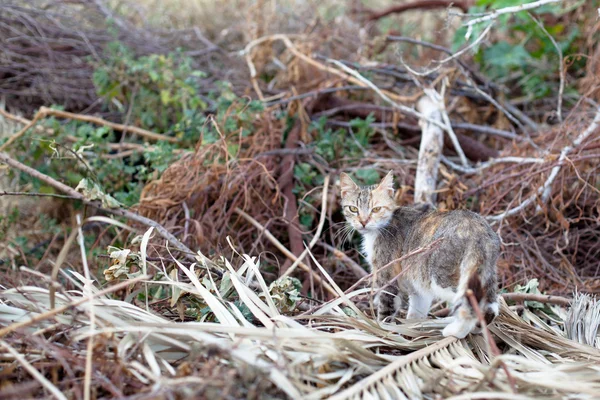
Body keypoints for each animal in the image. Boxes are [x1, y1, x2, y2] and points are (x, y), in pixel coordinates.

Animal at [340, 171, 500, 338]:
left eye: (376, 209)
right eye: (353, 209)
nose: (363, 222)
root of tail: (477, 228)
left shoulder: (387, 275)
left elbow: (386, 308)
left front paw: (382, 330)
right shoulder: (418, 284)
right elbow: (418, 309)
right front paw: (412, 328)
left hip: (441, 276)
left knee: (469, 303)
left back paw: (455, 331)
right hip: (484, 271)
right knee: (491, 305)